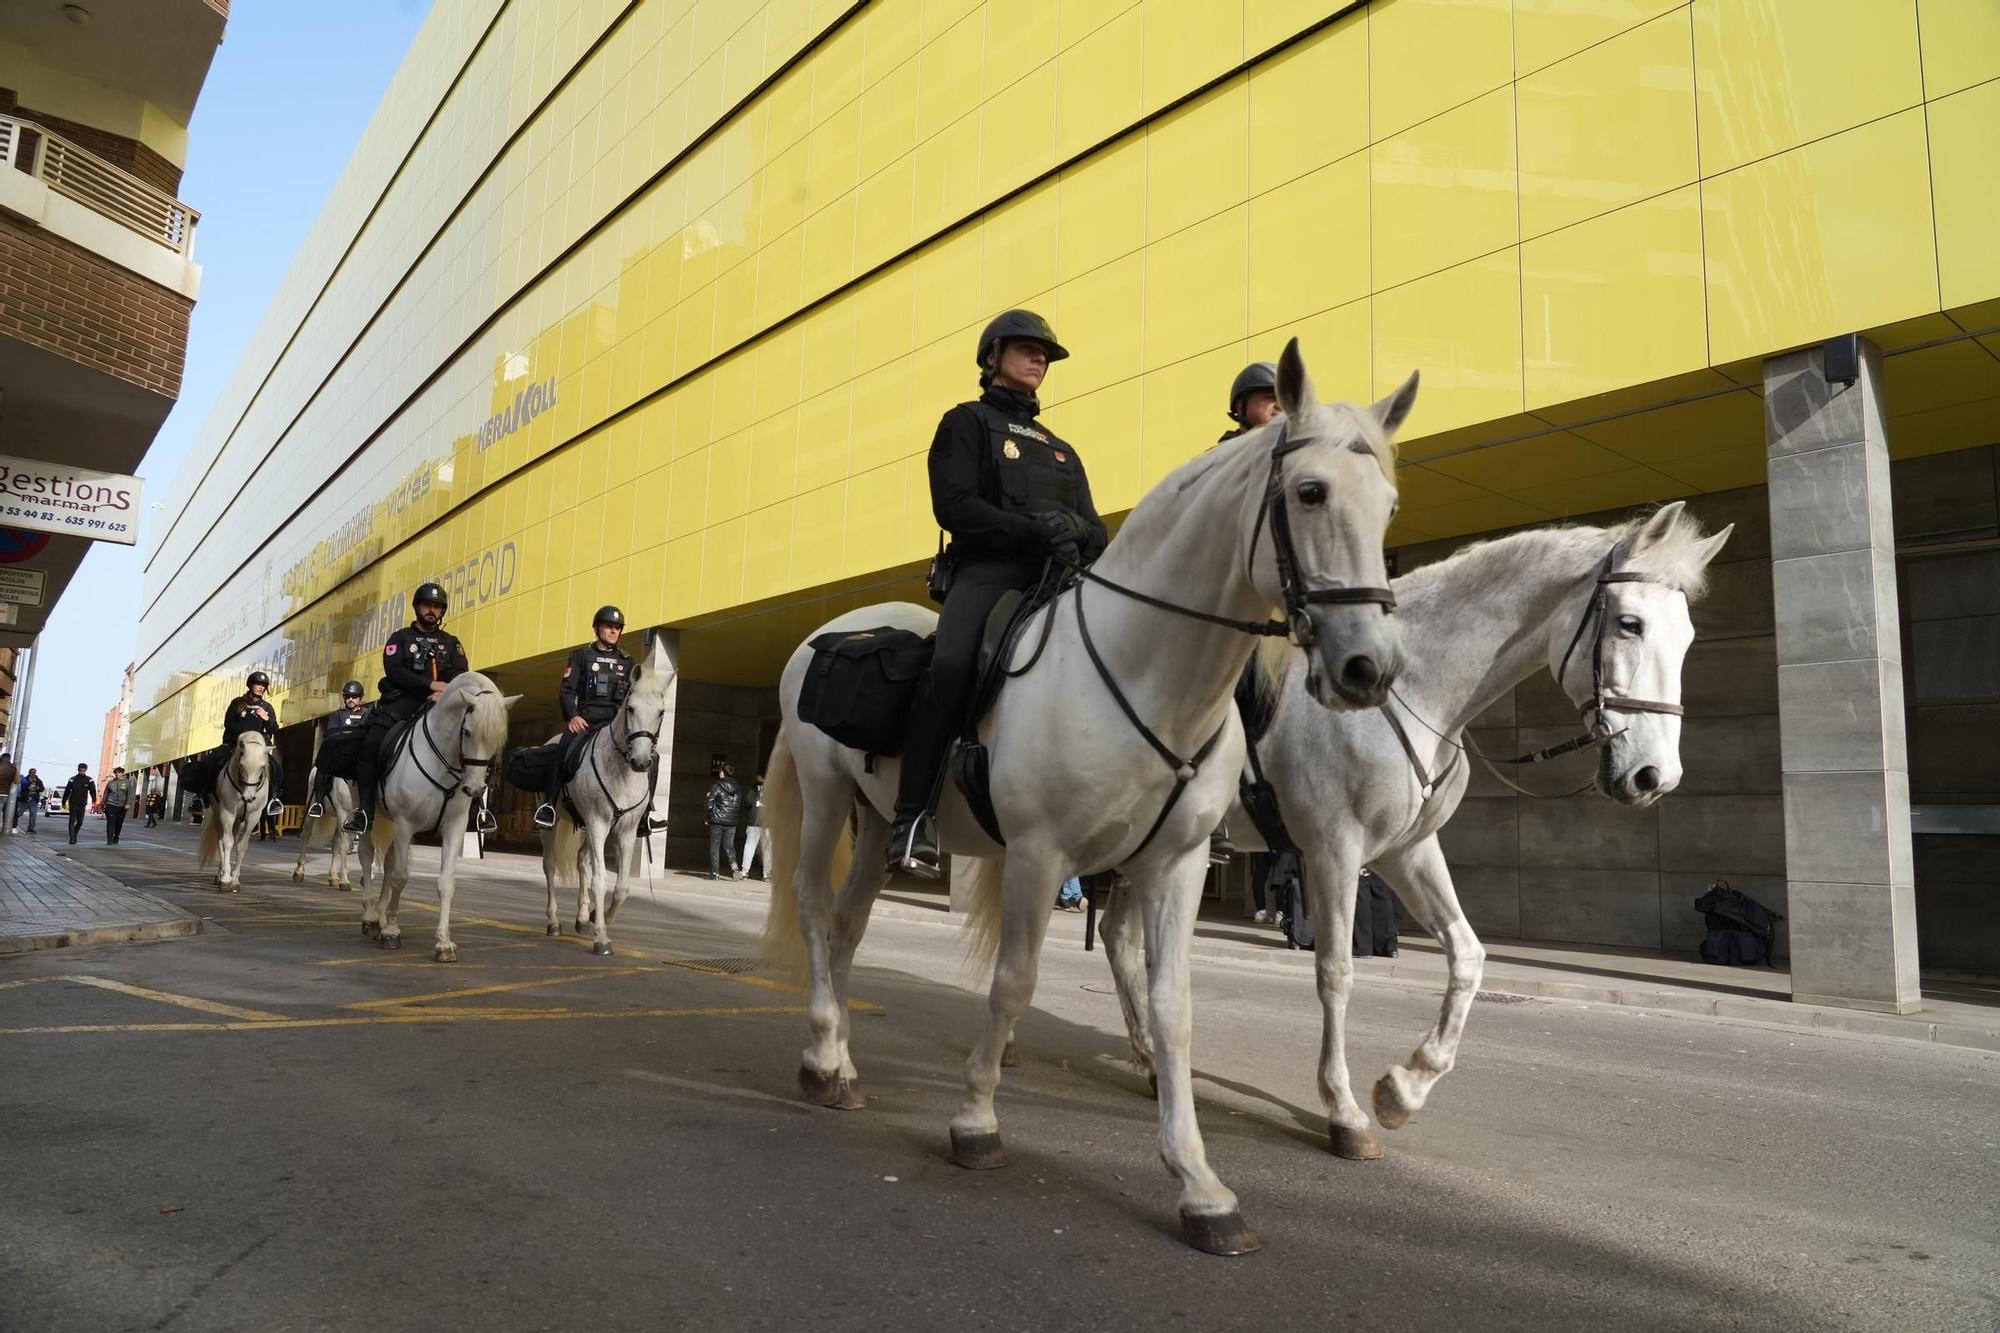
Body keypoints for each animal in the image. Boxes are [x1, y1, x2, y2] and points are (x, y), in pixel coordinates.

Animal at [196, 728, 274, 892]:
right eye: (242, 766)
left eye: (262, 767)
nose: (249, 798)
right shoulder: (227, 813)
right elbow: (227, 842)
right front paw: (226, 879)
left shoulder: (254, 816)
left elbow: (241, 846)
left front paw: (235, 880)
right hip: (219, 814)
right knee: (221, 842)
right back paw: (220, 875)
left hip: (239, 819)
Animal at [358, 676, 520, 956]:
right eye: (467, 732)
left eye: (498, 739)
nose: (474, 789)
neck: (443, 761)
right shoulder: (405, 824)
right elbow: (401, 877)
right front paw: (393, 932)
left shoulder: (453, 827)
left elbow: (445, 883)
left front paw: (443, 942)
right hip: (362, 809)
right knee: (367, 856)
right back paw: (370, 917)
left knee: (387, 862)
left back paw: (380, 917)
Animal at [760, 338, 1408, 1248]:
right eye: (1311, 492)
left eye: (1387, 505)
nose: (1368, 668)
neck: (1146, 666)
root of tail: (823, 634)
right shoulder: (1039, 855)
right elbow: (1014, 982)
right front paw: (976, 1121)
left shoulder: (1174, 865)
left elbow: (1171, 1008)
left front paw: (1201, 1184)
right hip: (824, 799)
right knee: (816, 909)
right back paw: (822, 1056)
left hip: (881, 821)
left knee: (848, 923)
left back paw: (843, 1059)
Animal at [1104, 498, 1728, 1152]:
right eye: (1631, 624)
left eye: (1688, 636)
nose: (1656, 776)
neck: (1412, 691)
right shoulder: (1334, 849)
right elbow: (1337, 971)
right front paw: (1344, 1112)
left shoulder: (1409, 850)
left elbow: (1468, 955)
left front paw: (1405, 1088)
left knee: (1118, 940)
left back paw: (1150, 1062)